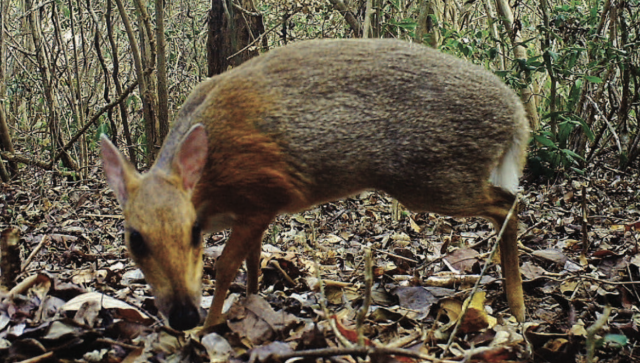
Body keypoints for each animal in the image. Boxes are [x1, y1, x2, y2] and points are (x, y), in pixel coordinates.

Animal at [101, 38, 528, 332]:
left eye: (193, 232)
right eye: (134, 239)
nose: (184, 315)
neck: (208, 185)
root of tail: (517, 116)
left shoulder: (262, 193)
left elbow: (224, 267)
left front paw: (209, 328)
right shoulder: (254, 212)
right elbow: (253, 263)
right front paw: (251, 306)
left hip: (433, 177)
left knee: (508, 204)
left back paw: (518, 306)